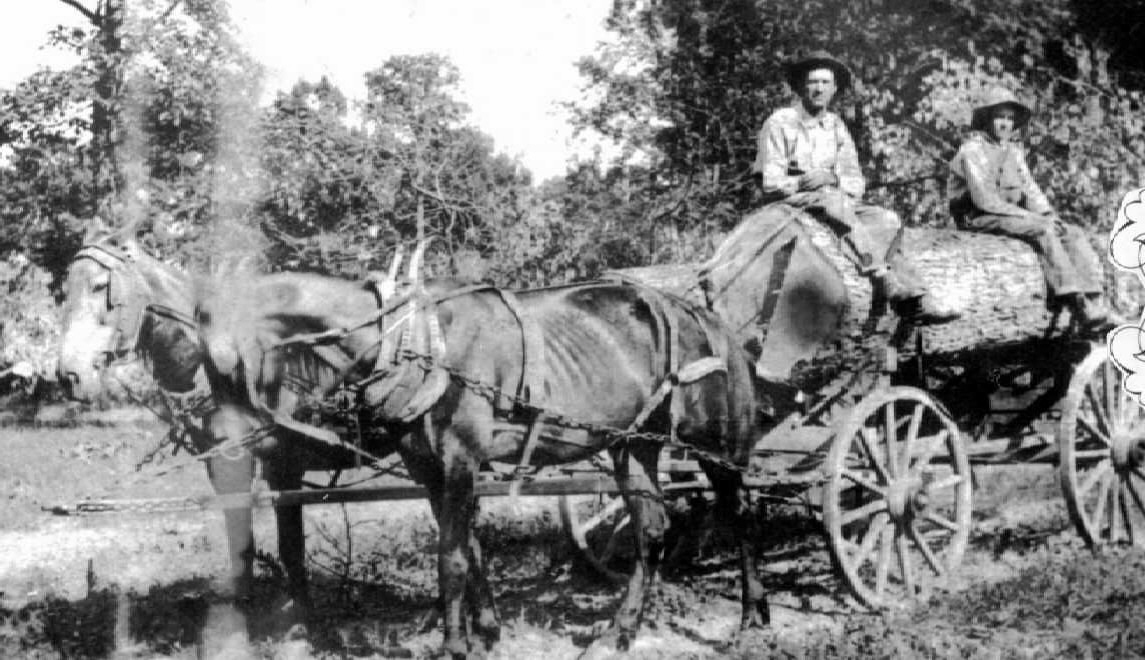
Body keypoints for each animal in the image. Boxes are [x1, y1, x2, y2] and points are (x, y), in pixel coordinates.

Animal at [196, 265, 769, 655]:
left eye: (227, 365)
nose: (217, 448)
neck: (413, 342)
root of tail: (710, 319)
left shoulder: (461, 457)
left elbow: (450, 556)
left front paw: (456, 644)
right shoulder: (430, 469)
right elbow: (469, 548)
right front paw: (488, 631)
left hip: (718, 445)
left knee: (740, 516)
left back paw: (753, 616)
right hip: (633, 445)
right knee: (651, 528)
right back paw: (621, 630)